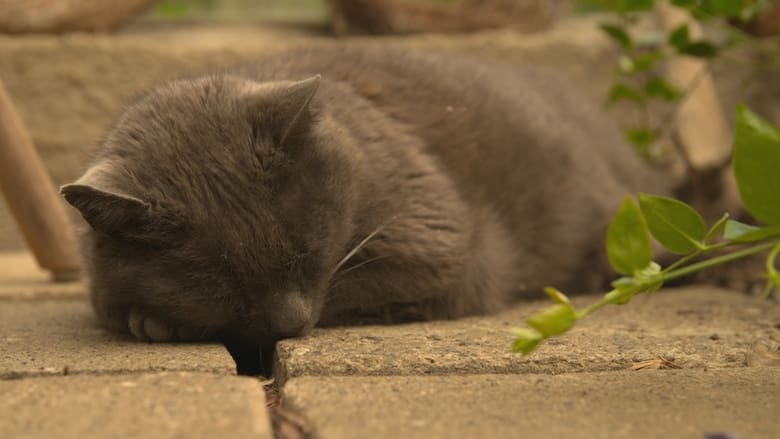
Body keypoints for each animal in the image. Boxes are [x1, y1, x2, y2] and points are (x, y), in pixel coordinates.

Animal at [61, 44, 672, 348]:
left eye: (306, 251)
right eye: (223, 280)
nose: (290, 323)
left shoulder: (438, 243)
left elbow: (354, 285)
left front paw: (161, 323)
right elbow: (106, 300)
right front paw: (150, 317)